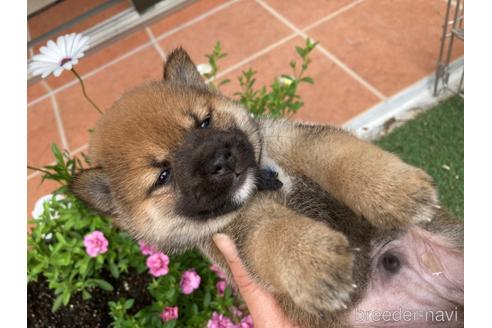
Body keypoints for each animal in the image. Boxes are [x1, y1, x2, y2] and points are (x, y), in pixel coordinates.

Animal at [70, 47, 462, 326]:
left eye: (204, 122)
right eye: (163, 175)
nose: (219, 159)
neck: (266, 180)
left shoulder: (298, 141)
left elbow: (342, 157)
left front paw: (396, 191)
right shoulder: (240, 229)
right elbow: (274, 234)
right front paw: (314, 263)